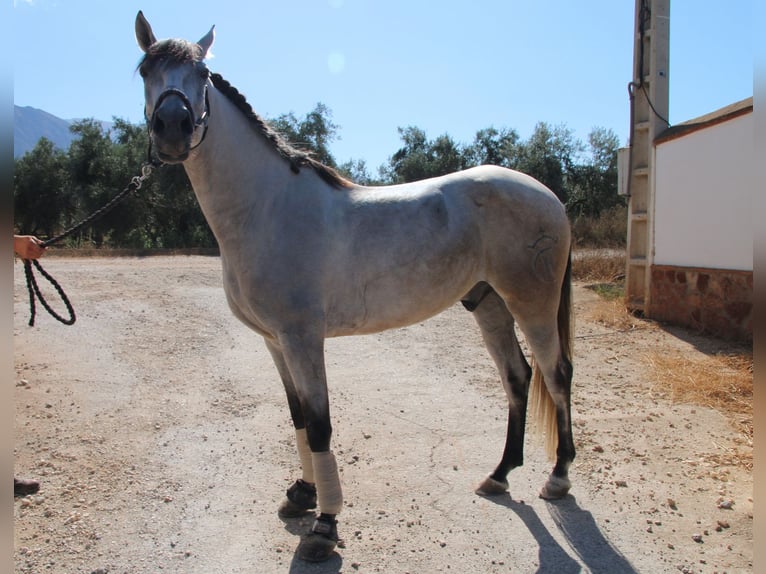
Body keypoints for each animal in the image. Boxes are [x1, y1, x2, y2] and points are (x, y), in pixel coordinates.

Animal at [134, 10, 575, 562]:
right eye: (144, 70)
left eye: (202, 74)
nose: (172, 127)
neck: (266, 208)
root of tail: (549, 197)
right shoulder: (275, 341)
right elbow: (299, 418)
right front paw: (302, 495)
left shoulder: (303, 339)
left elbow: (320, 423)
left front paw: (325, 525)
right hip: (489, 303)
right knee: (517, 378)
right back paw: (498, 476)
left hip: (532, 305)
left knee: (556, 376)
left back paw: (558, 478)